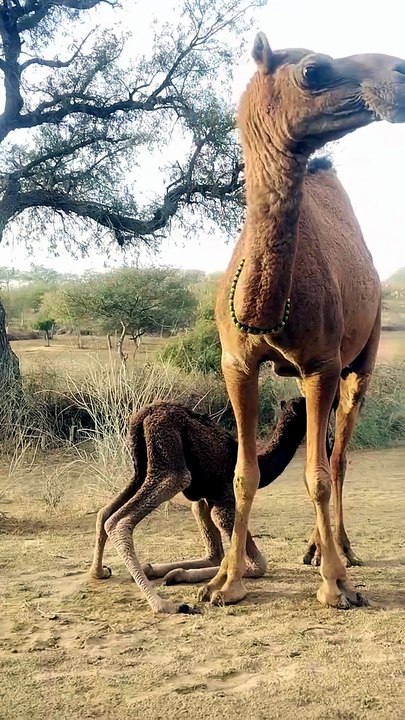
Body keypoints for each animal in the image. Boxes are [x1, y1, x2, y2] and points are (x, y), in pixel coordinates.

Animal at [89, 396, 326, 614]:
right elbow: (257, 564)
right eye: (306, 405)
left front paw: (170, 572)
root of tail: (142, 417)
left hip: (141, 469)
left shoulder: (205, 500)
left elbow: (214, 554)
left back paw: (99, 572)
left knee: (104, 512)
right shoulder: (226, 499)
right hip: (168, 460)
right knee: (120, 520)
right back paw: (164, 605)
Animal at [196, 34, 405, 610]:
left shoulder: (320, 365)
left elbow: (316, 475)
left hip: (362, 361)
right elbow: (244, 474)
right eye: (313, 70)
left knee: (338, 459)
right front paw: (225, 582)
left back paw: (341, 551)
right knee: (330, 451)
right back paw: (316, 548)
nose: (399, 72)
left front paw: (337, 585)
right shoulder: (237, 364)